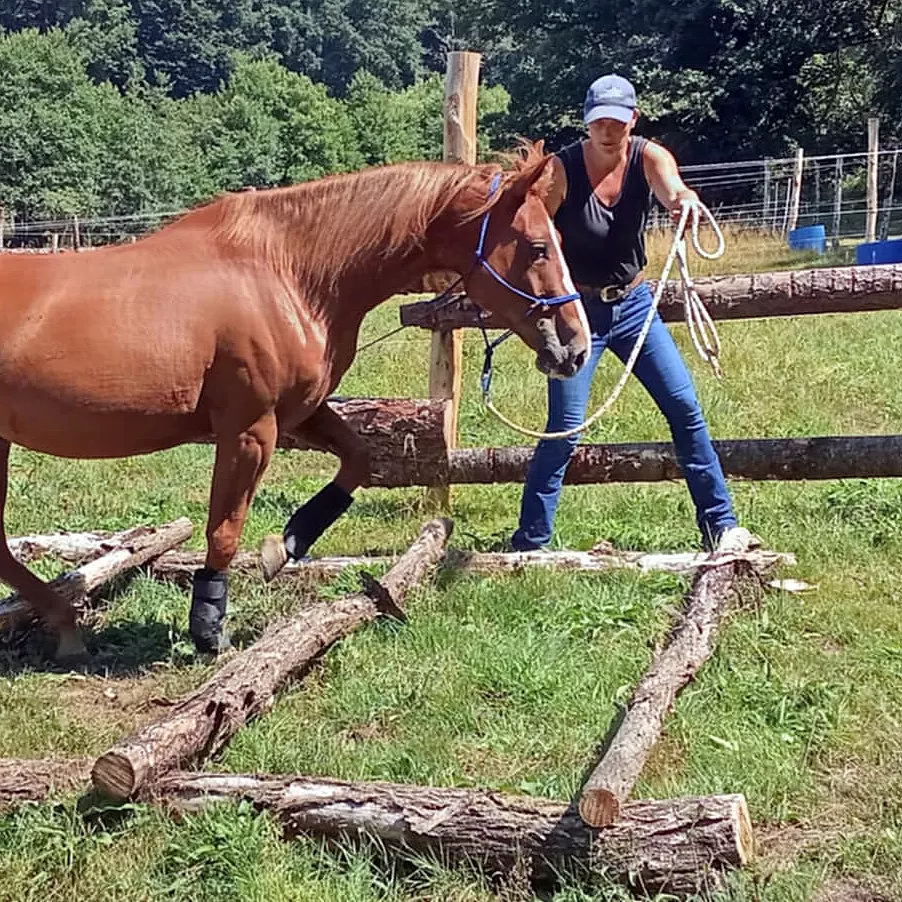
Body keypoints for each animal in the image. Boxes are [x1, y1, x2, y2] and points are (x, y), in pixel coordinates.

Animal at [0, 141, 589, 661]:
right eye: (538, 247)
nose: (576, 346)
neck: (285, 272)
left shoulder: (300, 416)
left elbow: (358, 460)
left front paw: (287, 545)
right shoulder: (250, 430)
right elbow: (224, 531)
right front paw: (210, 632)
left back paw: (66, 625)